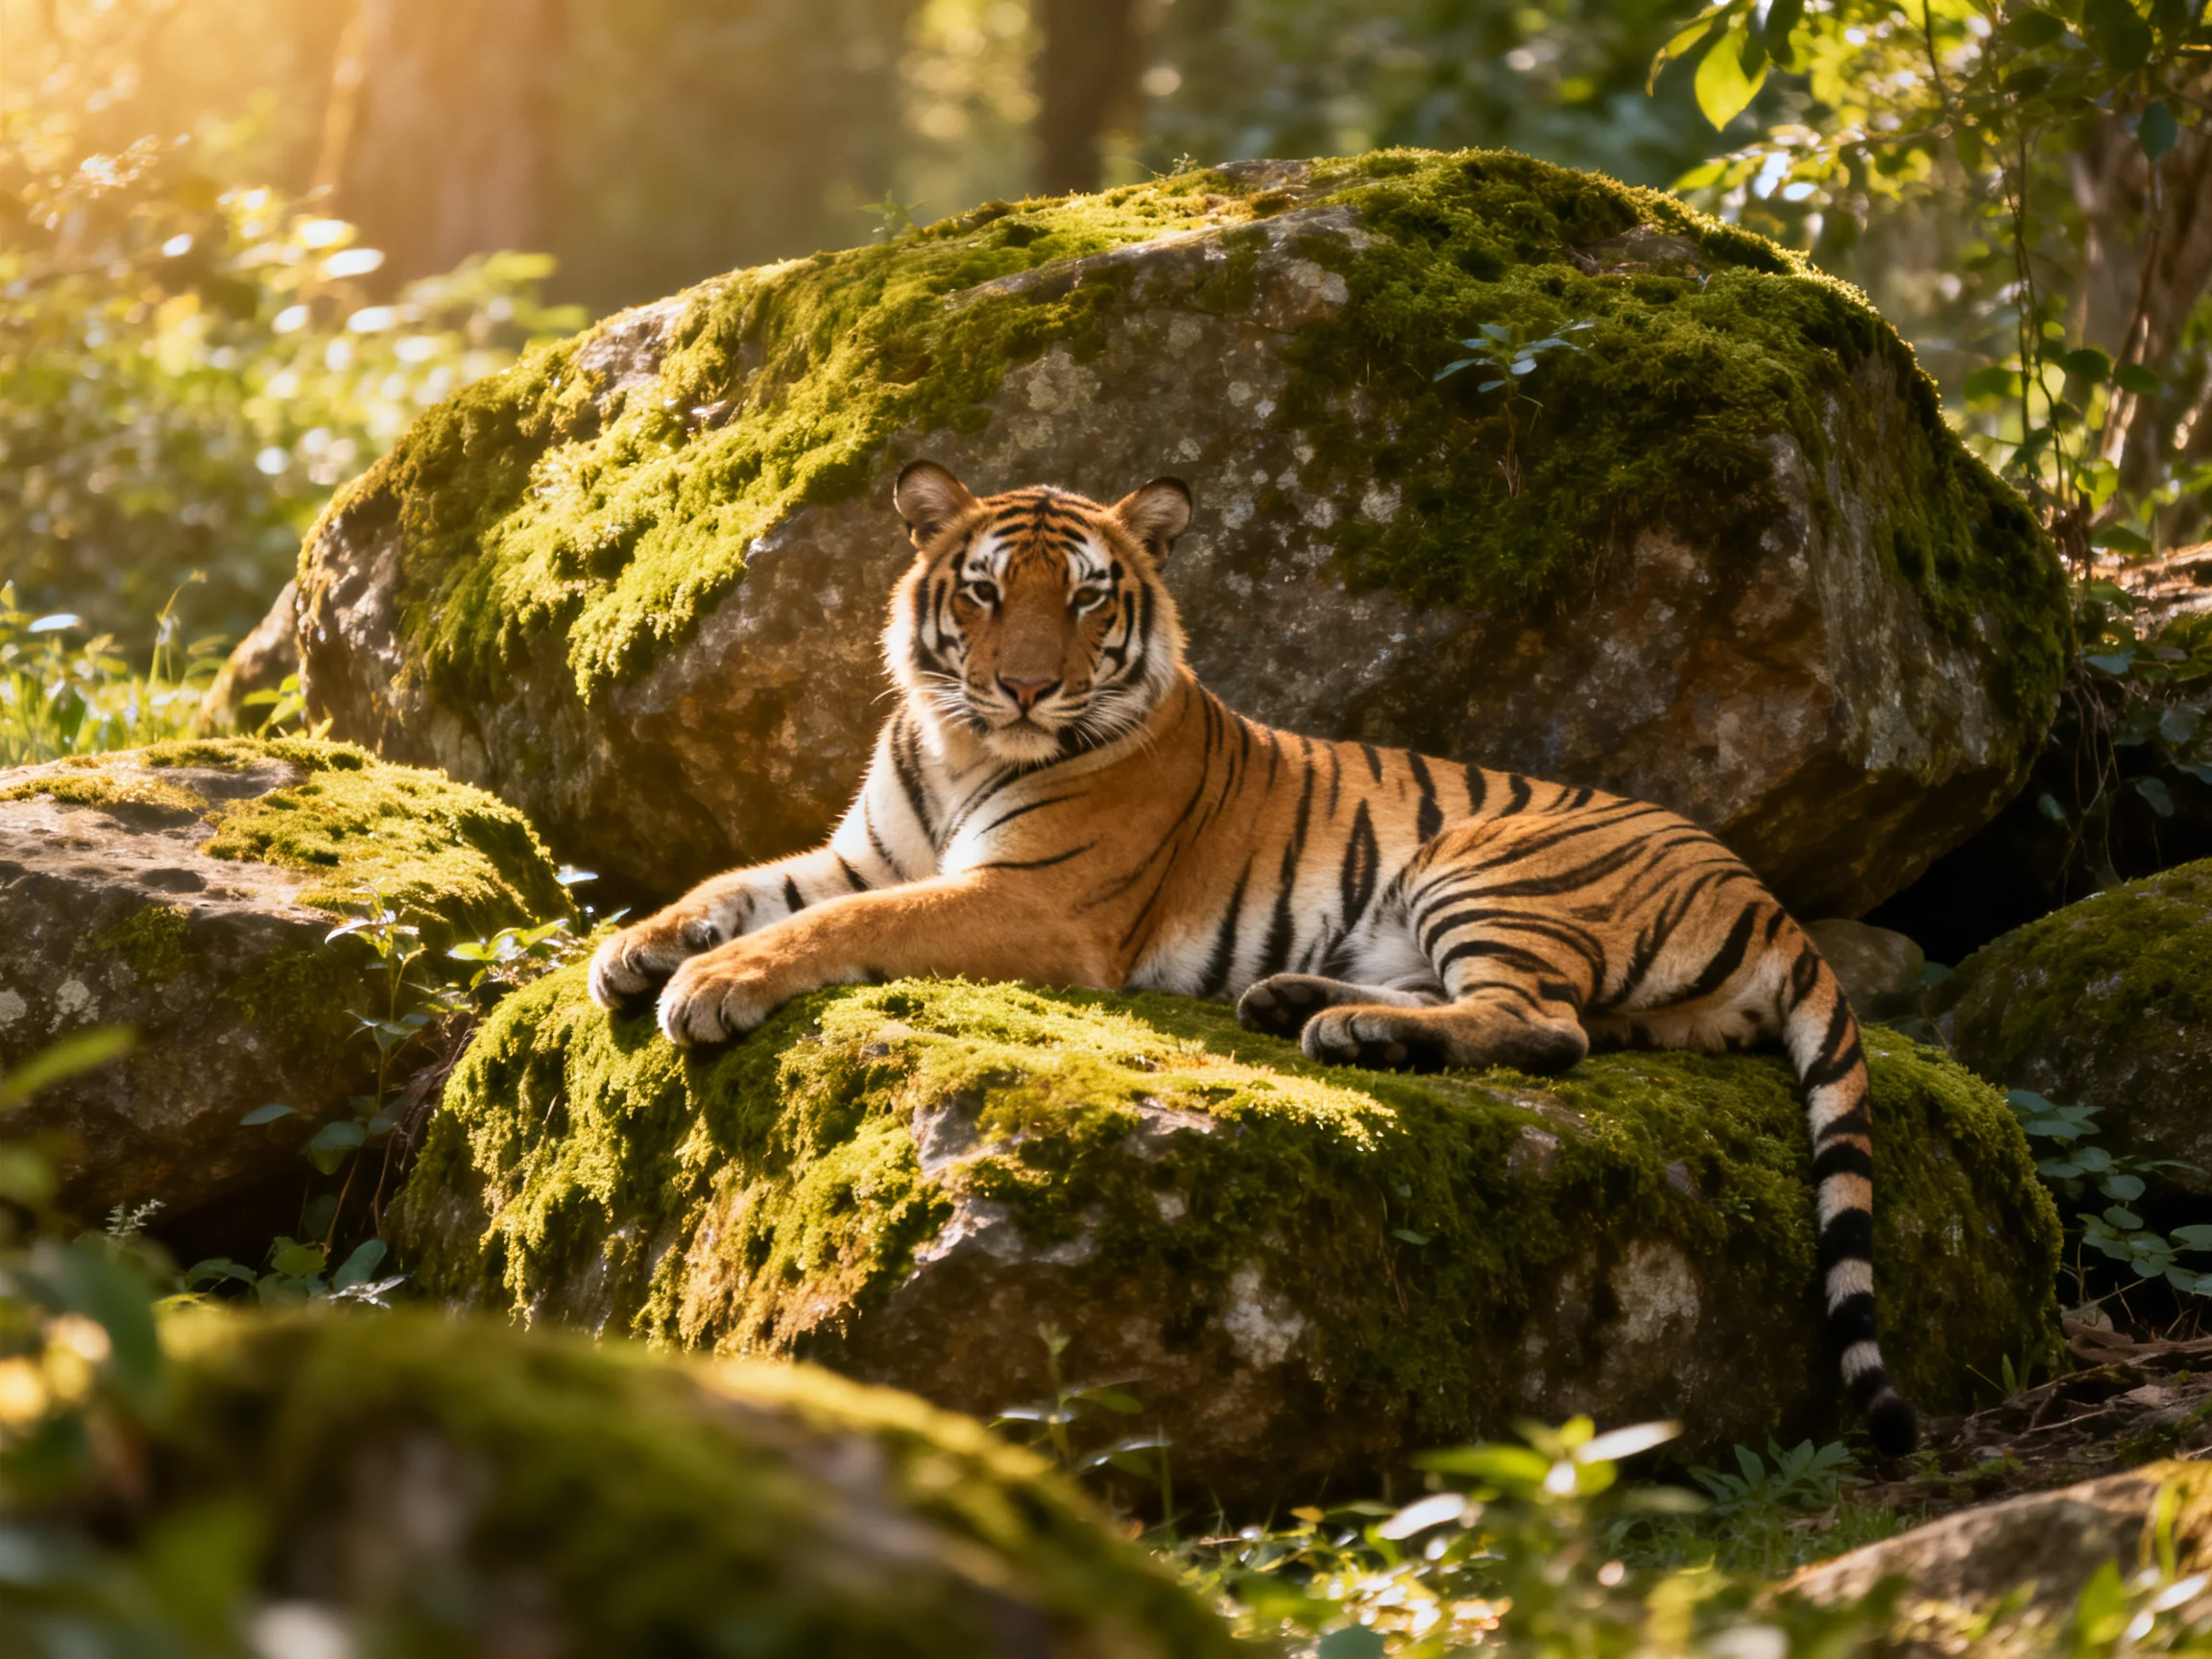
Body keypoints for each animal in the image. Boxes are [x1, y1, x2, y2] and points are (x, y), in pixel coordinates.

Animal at [587, 460, 1920, 1457]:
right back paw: (1299, 1000)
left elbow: (836, 929)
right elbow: (740, 889)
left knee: (1548, 1027)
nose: (1023, 688)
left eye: (1086, 601)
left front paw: (710, 987)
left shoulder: (1035, 900)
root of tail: (1770, 896)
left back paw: (1344, 1027)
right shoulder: (864, 853)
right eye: (981, 592)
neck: (961, 745)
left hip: (1485, 865)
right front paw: (633, 951)